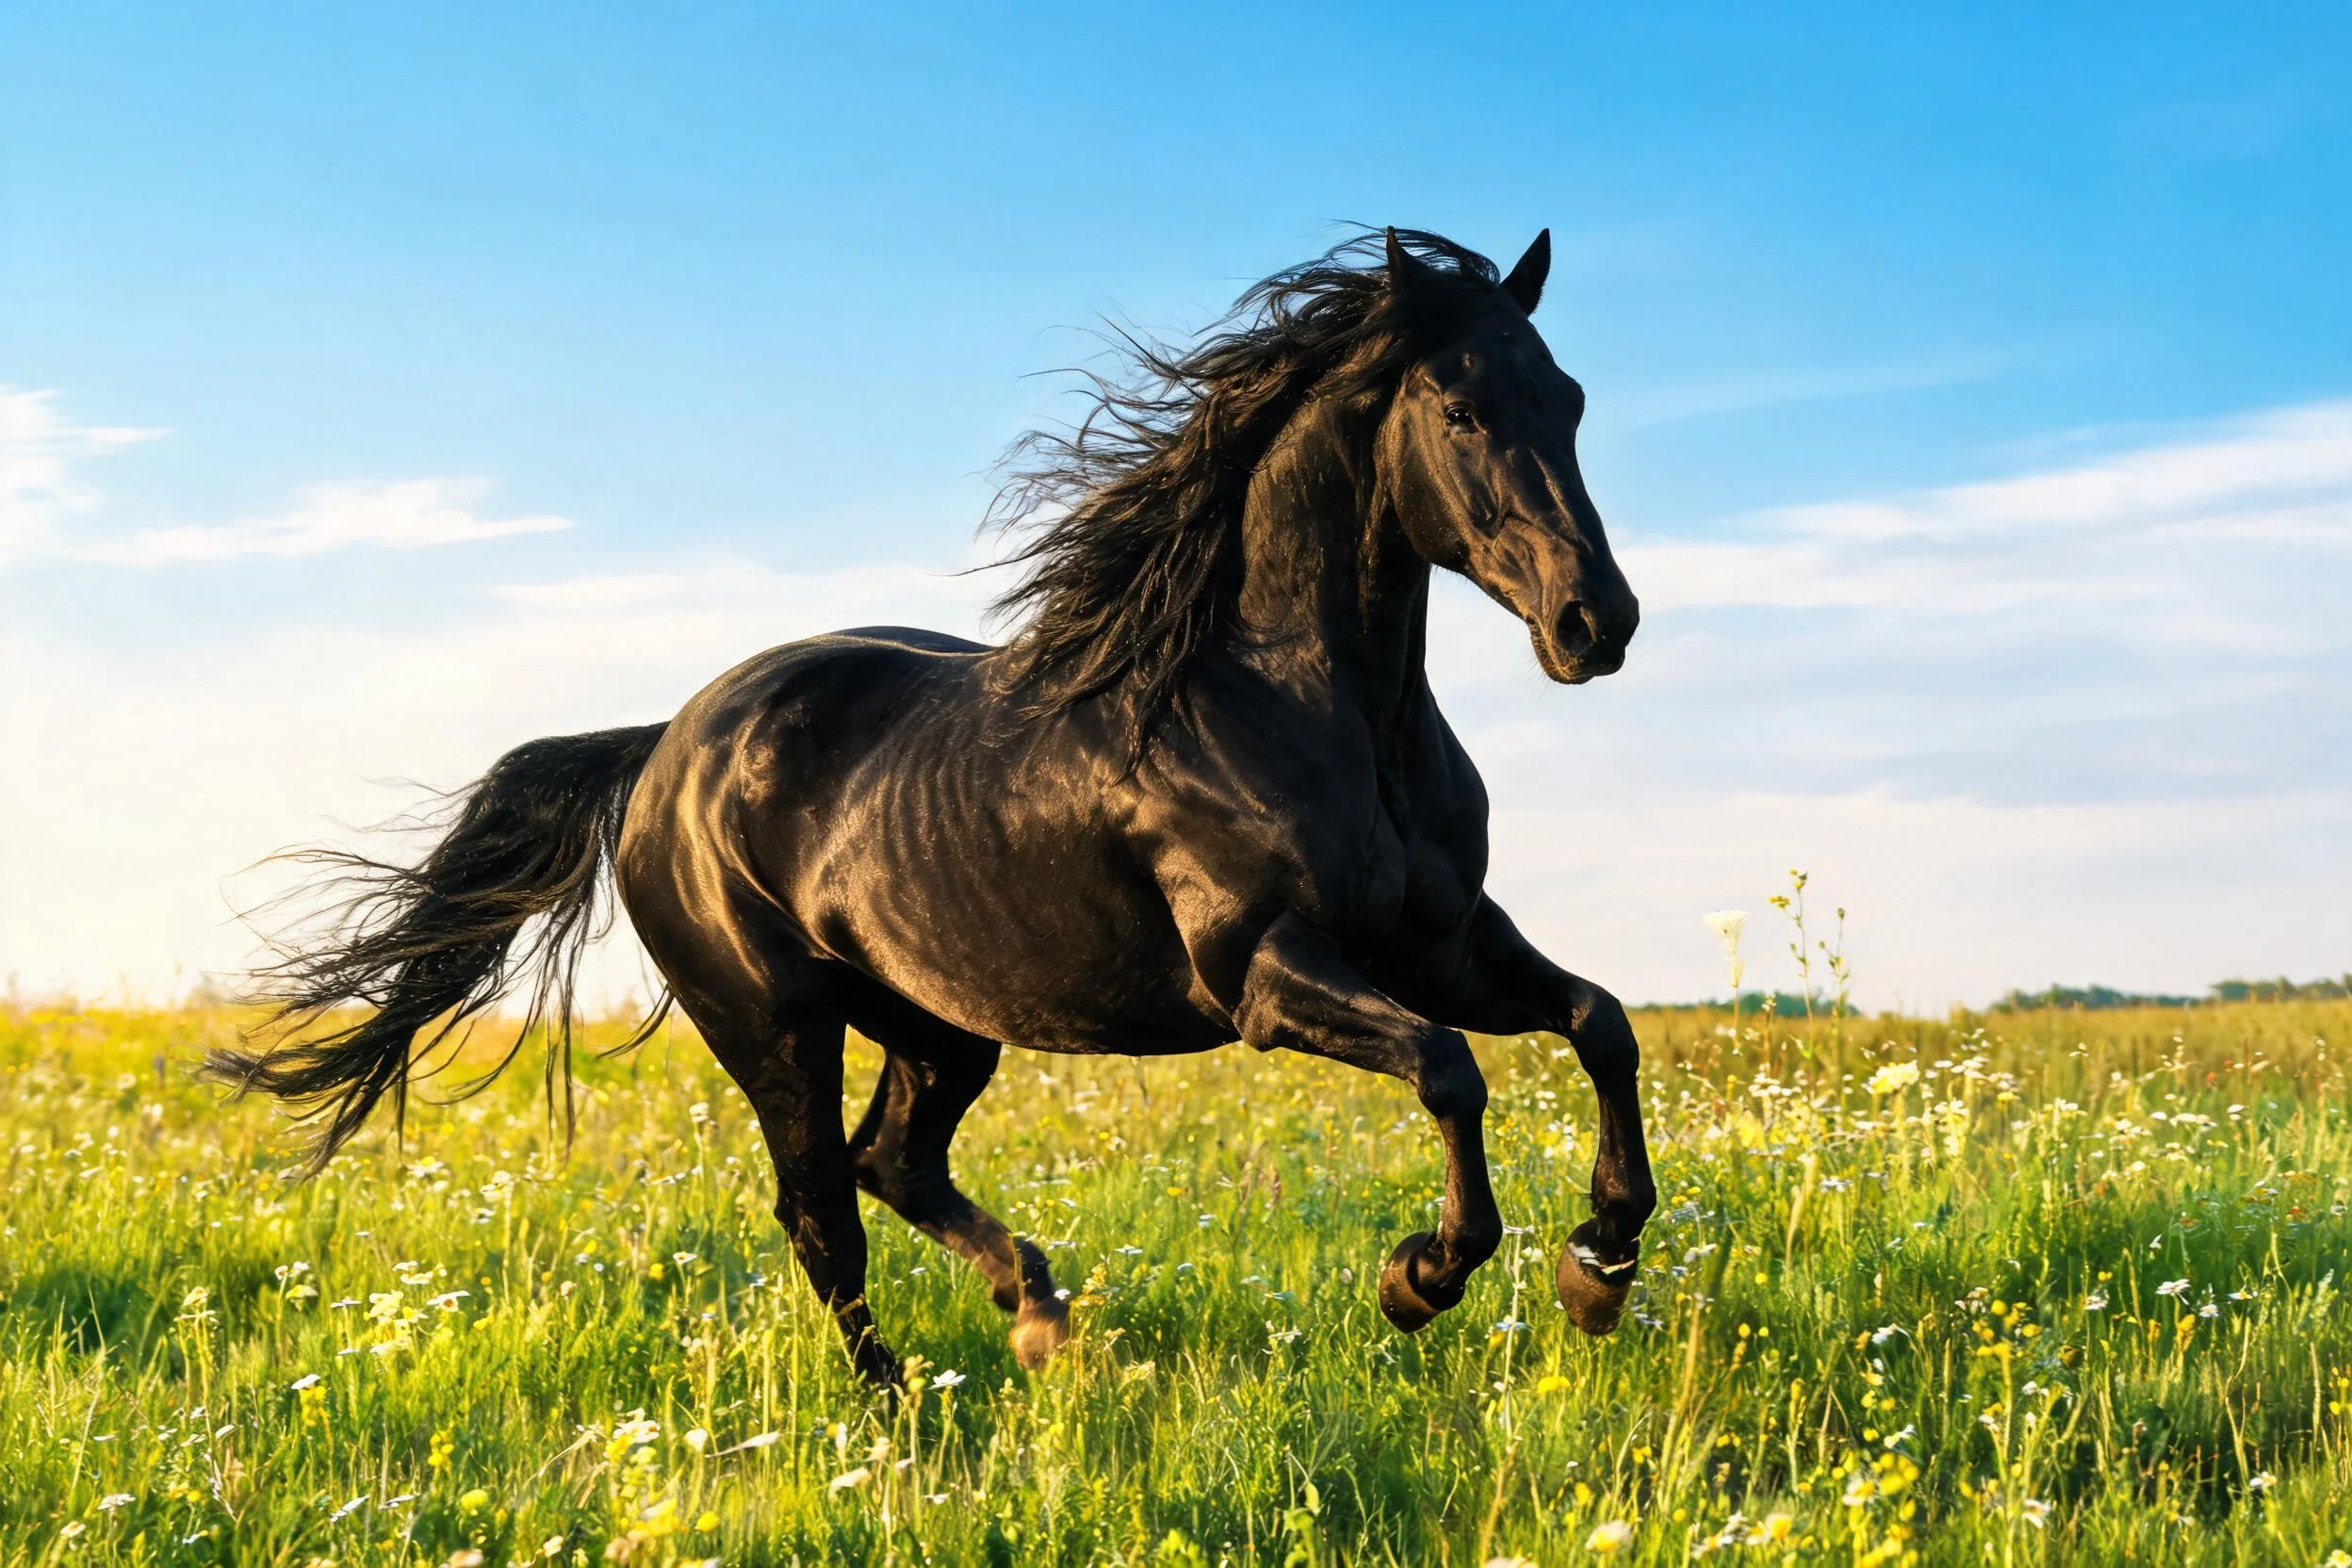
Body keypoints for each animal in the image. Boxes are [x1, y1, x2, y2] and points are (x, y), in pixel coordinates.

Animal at [206, 227, 1658, 1386]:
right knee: (819, 1212)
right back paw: (897, 1407)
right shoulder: (1260, 970)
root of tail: (668, 746)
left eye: (1571, 397)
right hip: (776, 1023)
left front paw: (1597, 1264)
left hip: (937, 1023)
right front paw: (1423, 1276)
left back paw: (1041, 1316)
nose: (1598, 624)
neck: (1299, 705)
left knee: (890, 1161)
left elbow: (1599, 1021)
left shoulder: (1444, 940)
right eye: (1460, 411)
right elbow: (1450, 1066)